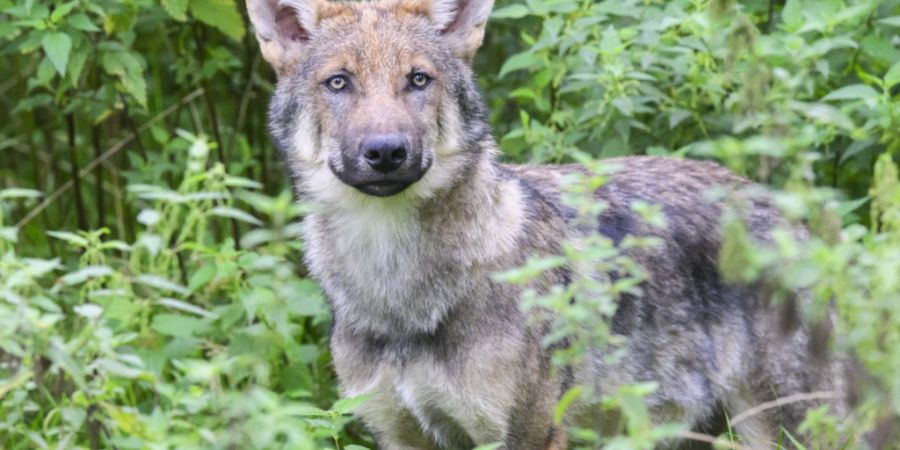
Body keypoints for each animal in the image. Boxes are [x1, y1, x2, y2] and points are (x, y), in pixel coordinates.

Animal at [245, 0, 846, 448]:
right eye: (339, 82)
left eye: (417, 79)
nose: (386, 151)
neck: (399, 295)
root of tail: (790, 214)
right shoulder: (399, 434)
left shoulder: (529, 433)